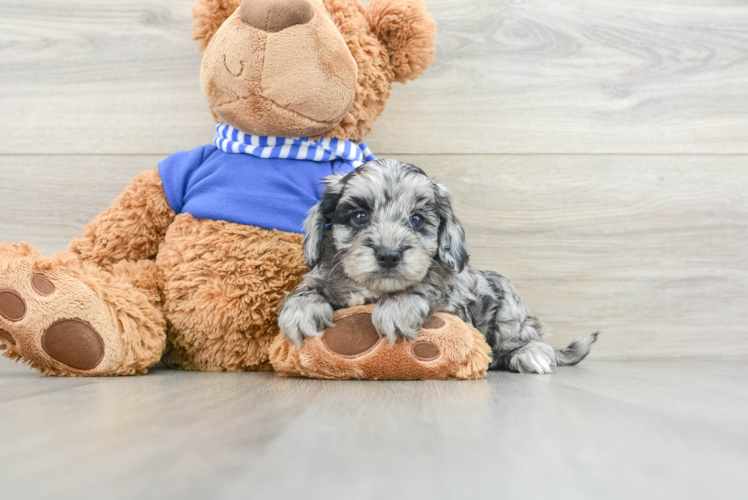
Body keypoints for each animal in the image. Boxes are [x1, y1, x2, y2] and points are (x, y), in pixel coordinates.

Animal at [278, 158, 600, 374]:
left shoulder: (454, 301)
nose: (389, 255)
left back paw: (531, 356)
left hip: (508, 314)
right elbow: (308, 288)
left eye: (417, 220)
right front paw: (300, 311)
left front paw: (397, 308)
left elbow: (427, 285)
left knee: (529, 340)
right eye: (359, 216)